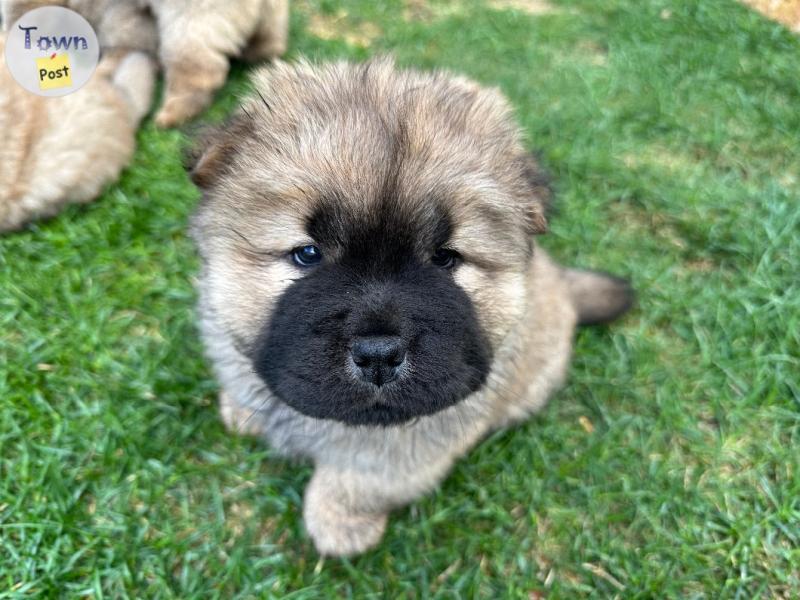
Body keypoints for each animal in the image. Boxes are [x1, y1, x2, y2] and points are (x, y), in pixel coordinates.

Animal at [188, 58, 632, 556]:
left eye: (445, 259)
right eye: (307, 254)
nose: (379, 355)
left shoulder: (411, 445)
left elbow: (358, 481)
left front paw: (338, 526)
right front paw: (241, 409)